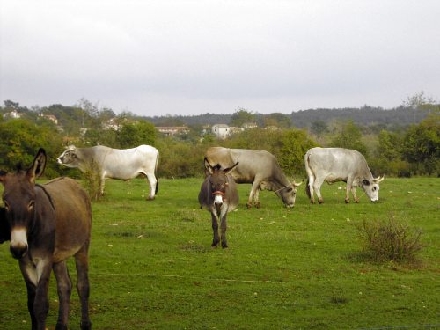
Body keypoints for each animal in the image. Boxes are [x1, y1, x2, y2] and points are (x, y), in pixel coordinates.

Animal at [0, 149, 91, 330]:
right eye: (5, 203)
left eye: (31, 203)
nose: (18, 248)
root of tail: (72, 181)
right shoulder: (25, 263)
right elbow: (31, 305)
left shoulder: (45, 259)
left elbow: (40, 306)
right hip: (58, 256)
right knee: (65, 286)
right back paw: (61, 326)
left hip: (82, 248)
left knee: (82, 286)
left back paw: (85, 325)